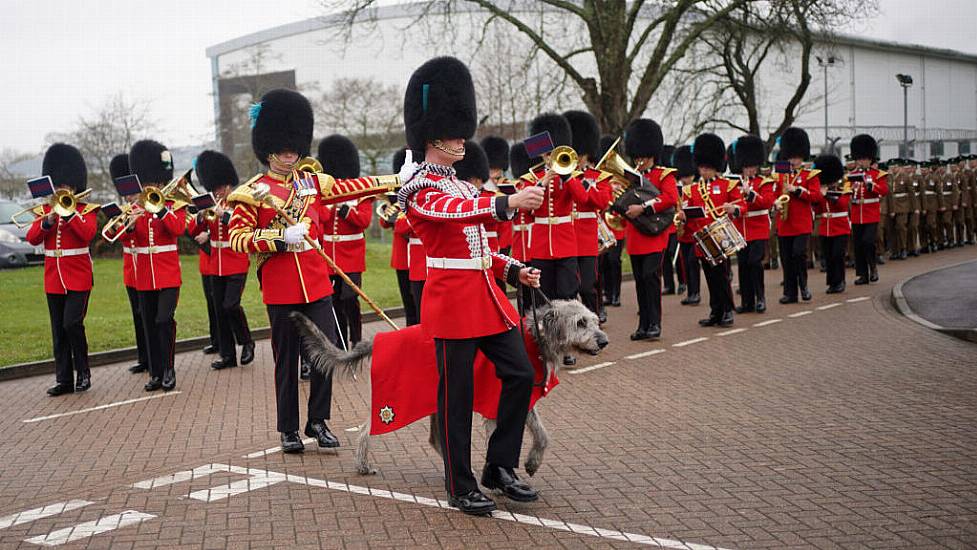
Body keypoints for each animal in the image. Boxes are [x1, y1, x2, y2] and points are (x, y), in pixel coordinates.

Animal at [292, 300, 608, 476]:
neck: (533, 338)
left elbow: (542, 435)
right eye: (580, 322)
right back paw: (362, 465)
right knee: (366, 430)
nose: (603, 341)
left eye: (593, 320)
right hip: (396, 403)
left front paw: (527, 464)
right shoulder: (497, 404)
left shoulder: (521, 401)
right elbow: (505, 436)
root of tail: (379, 339)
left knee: (436, 439)